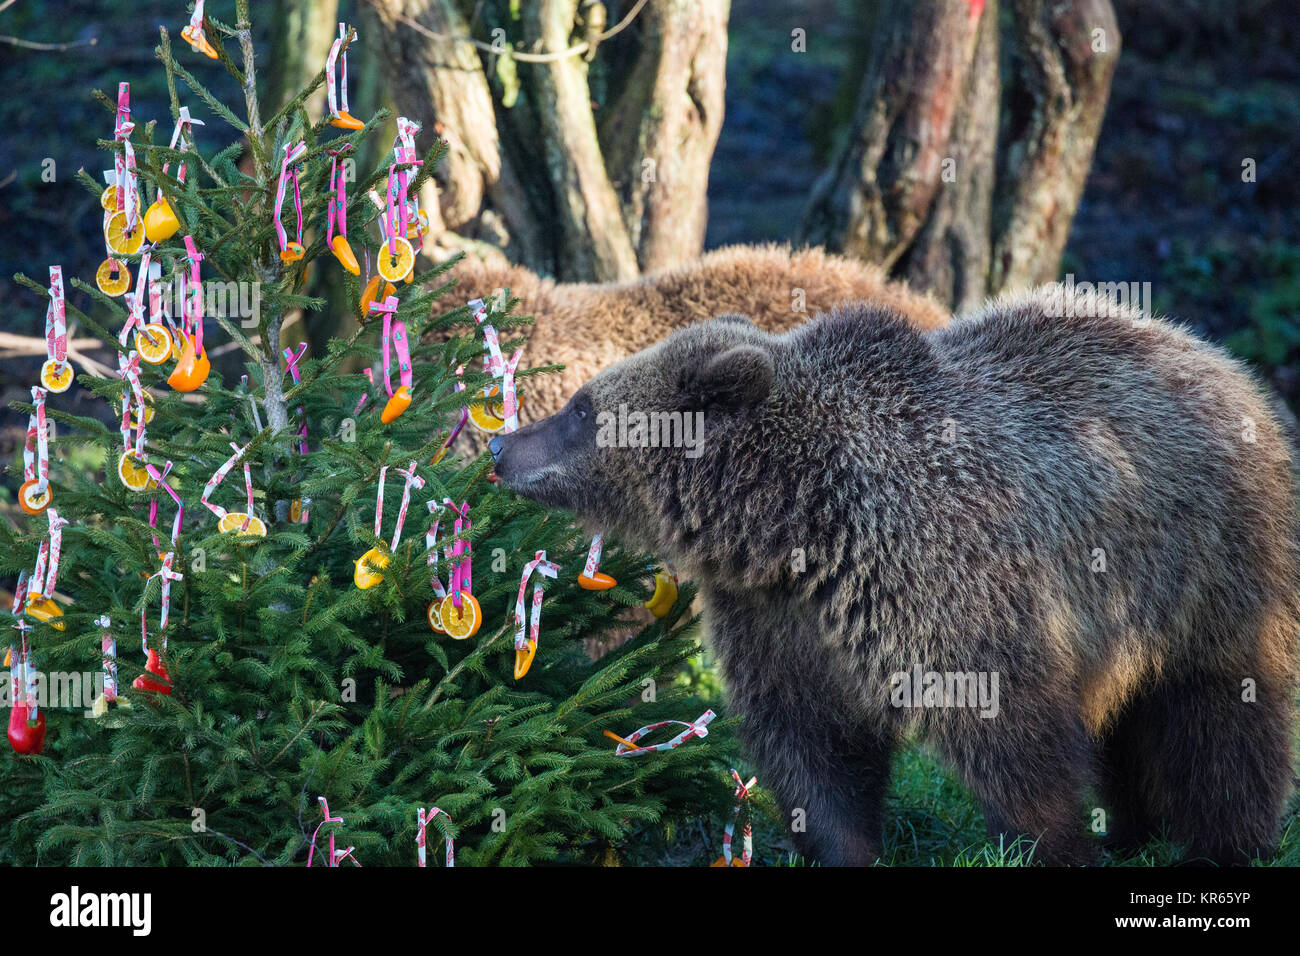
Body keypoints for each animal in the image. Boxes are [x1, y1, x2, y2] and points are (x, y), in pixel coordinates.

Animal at [488, 286, 1300, 868]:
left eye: (581, 407)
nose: (501, 447)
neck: (797, 527)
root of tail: (1216, 358)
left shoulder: (951, 583)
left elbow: (1015, 742)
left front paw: (1053, 844)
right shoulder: (778, 620)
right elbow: (815, 750)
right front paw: (843, 848)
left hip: (1202, 564)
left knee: (1220, 714)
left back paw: (1227, 844)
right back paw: (1133, 829)